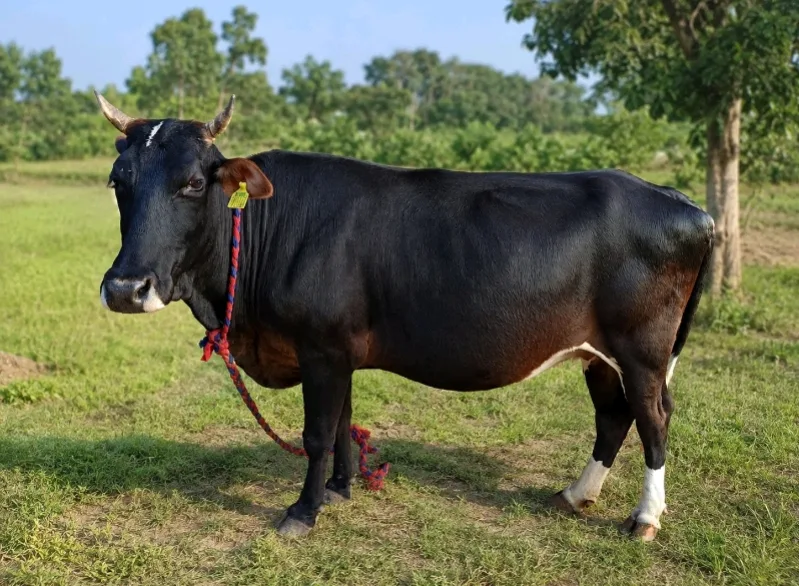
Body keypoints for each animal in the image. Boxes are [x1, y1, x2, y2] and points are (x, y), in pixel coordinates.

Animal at [94, 92, 714, 541]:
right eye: (118, 182)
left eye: (195, 182)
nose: (125, 288)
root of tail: (681, 201)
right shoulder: (337, 350)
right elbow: (343, 424)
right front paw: (340, 488)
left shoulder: (321, 347)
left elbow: (316, 433)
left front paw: (303, 511)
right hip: (597, 352)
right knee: (613, 417)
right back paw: (575, 494)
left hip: (641, 348)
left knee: (654, 418)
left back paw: (644, 518)